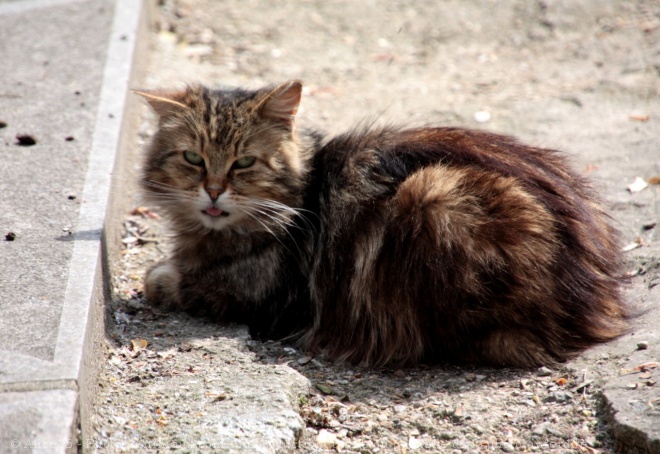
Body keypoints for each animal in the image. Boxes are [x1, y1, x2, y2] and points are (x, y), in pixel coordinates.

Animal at [135, 80, 628, 368]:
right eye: (193, 158)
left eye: (244, 163)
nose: (214, 191)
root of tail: (595, 298)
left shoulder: (261, 297)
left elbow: (169, 282)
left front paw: (161, 276)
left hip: (435, 198)